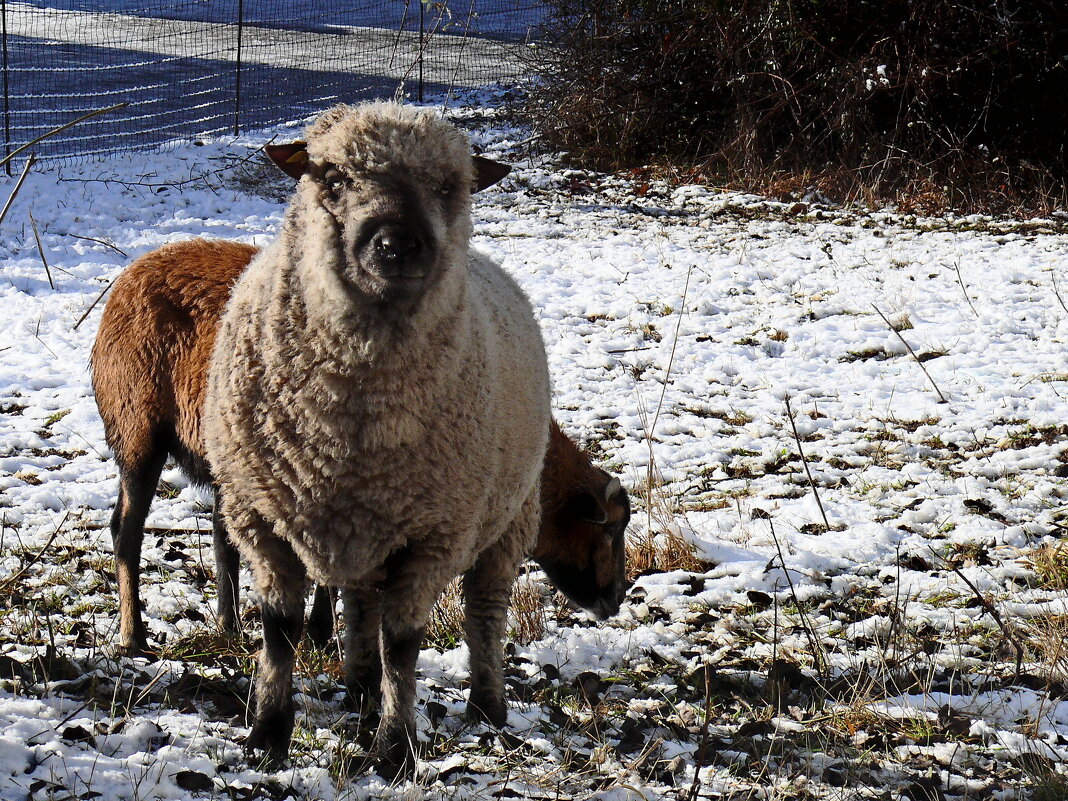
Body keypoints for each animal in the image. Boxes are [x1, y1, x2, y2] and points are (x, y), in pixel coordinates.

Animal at [89, 238, 623, 657]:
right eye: (607, 529)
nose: (615, 599)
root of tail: (132, 273)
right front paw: (322, 633)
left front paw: (320, 632)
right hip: (137, 429)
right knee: (126, 530)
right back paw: (133, 635)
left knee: (220, 539)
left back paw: (227, 625)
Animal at [200, 103, 551, 773]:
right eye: (332, 178)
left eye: (449, 186)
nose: (398, 245)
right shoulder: (259, 517)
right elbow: (279, 629)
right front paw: (267, 734)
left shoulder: (435, 533)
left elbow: (405, 644)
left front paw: (396, 749)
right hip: (363, 530)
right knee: (360, 605)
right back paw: (359, 692)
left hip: (509, 516)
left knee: (485, 612)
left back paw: (487, 708)